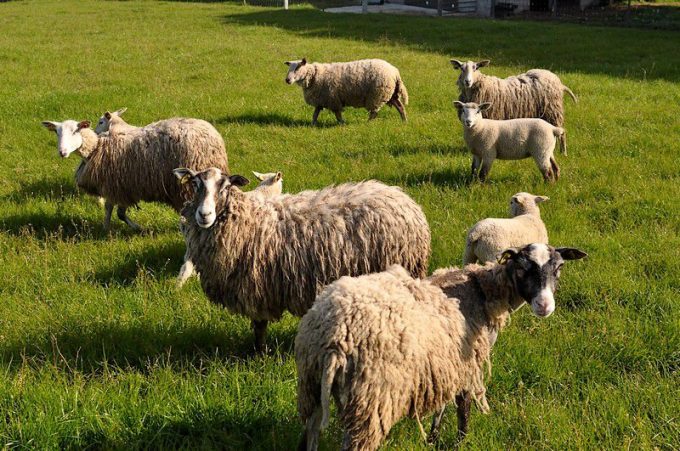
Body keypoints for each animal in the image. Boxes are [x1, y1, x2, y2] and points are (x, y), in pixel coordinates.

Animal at [41, 118, 229, 230]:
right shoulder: (115, 186)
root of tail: (213, 133)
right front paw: (106, 229)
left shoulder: (119, 187)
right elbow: (111, 210)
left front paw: (137, 228)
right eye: (57, 132)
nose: (62, 152)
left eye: (75, 131)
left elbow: (118, 212)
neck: (96, 148)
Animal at [173, 167, 431, 351]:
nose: (204, 214)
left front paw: (259, 354)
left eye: (225, 186)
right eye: (195, 184)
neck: (249, 219)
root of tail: (404, 199)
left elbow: (259, 326)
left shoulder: (256, 288)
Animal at [295, 243, 587, 451]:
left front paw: (433, 438)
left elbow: (442, 406)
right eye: (521, 268)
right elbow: (463, 407)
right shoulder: (467, 361)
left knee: (308, 435)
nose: (544, 305)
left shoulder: (444, 361)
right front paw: (460, 441)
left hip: (311, 385)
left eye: (559, 268)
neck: (483, 291)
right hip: (371, 396)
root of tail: (333, 336)